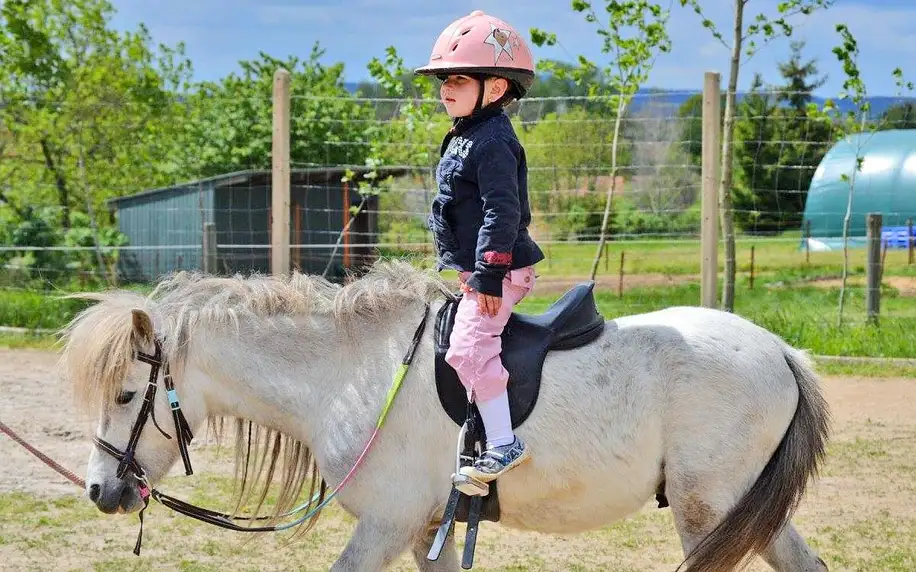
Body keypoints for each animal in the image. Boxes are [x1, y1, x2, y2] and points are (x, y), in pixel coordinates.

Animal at [55, 260, 832, 572]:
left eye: (124, 395)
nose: (98, 490)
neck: (349, 373)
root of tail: (779, 349)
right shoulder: (431, 526)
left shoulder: (388, 523)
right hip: (741, 510)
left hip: (710, 509)